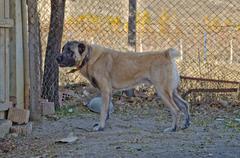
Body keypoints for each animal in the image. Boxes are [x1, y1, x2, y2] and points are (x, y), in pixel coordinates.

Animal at [56, 40, 189, 132]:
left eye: (70, 51)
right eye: (63, 49)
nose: (57, 58)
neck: (88, 57)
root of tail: (166, 53)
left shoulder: (105, 91)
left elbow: (103, 111)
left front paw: (100, 126)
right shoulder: (108, 92)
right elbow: (107, 111)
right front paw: (103, 124)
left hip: (162, 92)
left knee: (176, 110)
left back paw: (173, 128)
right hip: (171, 92)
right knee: (185, 104)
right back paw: (186, 124)